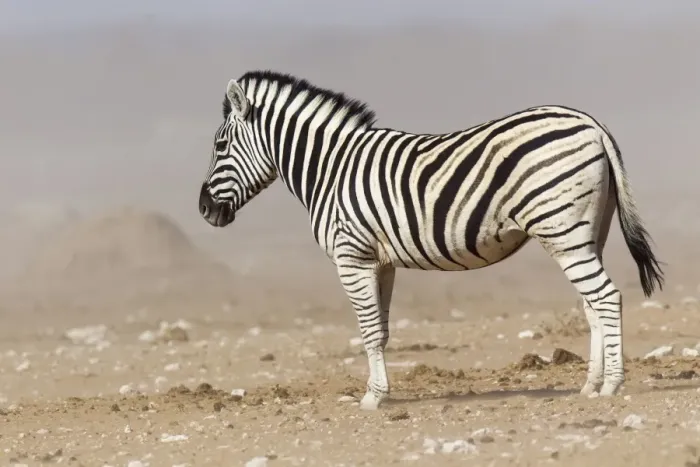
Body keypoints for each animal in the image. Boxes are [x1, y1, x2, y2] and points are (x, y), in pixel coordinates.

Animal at [198, 70, 664, 410]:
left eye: (220, 146)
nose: (203, 209)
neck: (331, 169)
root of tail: (589, 123)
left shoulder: (351, 256)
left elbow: (368, 330)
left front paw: (372, 399)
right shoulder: (380, 261)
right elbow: (382, 330)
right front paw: (380, 391)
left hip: (562, 228)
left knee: (606, 297)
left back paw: (612, 386)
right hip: (586, 233)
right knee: (591, 304)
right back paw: (590, 385)